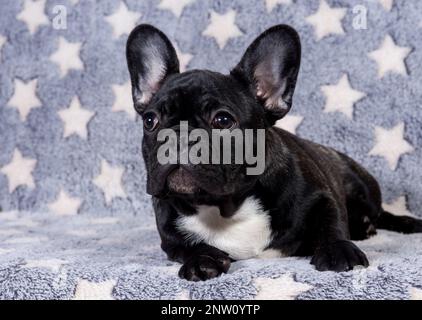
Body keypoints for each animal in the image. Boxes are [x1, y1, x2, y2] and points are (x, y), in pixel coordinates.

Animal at [126, 24, 422, 280]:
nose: (178, 135)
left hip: (363, 186)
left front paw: (339, 250)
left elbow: (332, 221)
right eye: (150, 121)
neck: (226, 208)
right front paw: (202, 260)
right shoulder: (168, 233)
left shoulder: (320, 196)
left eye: (222, 120)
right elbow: (185, 244)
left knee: (380, 213)